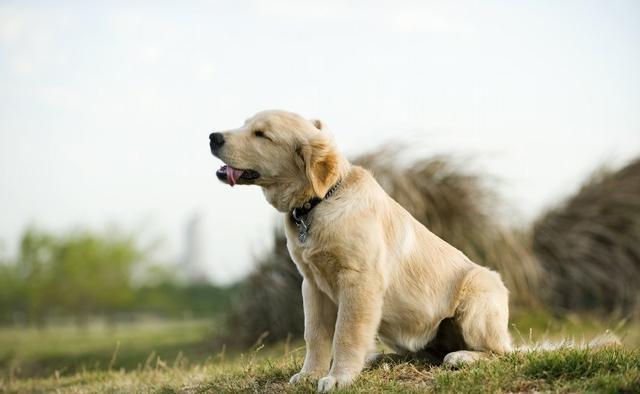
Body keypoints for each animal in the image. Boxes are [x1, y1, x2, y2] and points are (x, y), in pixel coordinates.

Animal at [210, 110, 516, 390]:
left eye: (262, 134)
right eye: (245, 123)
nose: (213, 137)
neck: (320, 202)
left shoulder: (359, 281)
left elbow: (346, 333)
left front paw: (338, 378)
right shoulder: (312, 285)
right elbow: (315, 335)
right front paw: (309, 375)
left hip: (478, 295)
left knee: (499, 352)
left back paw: (461, 356)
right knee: (423, 355)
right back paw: (379, 358)